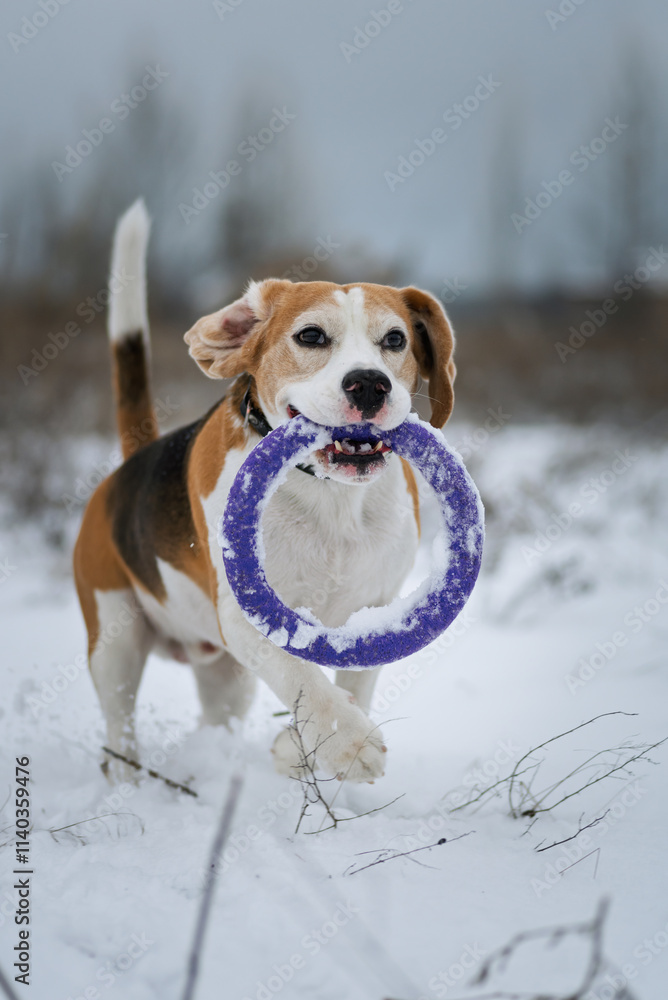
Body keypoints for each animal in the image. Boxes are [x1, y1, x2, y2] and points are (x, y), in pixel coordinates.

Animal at [74, 201, 454, 780]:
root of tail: (132, 463)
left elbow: (350, 681)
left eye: (395, 340)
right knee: (120, 722)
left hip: (224, 680)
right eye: (311, 336)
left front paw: (297, 749)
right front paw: (348, 742)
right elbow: (298, 674)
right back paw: (128, 777)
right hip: (114, 640)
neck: (330, 495)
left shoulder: (377, 610)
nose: (369, 384)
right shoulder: (243, 617)